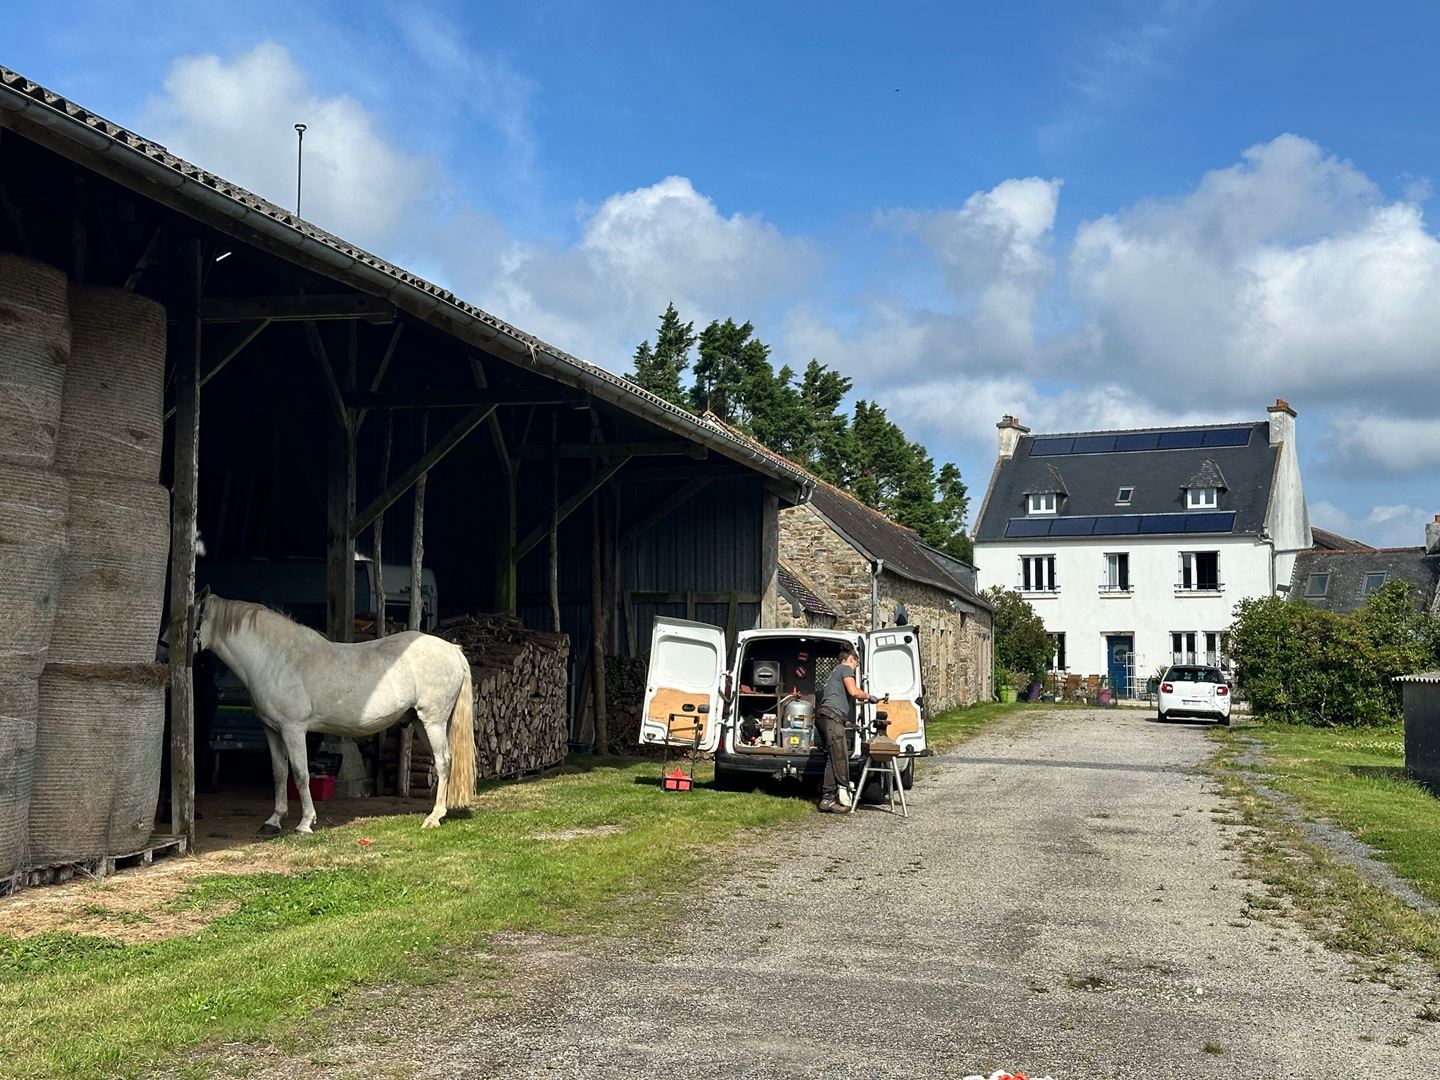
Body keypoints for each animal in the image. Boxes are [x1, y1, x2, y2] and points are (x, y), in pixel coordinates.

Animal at [195, 596, 478, 835]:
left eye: (191, 615)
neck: (277, 658)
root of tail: (453, 650)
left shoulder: (293, 730)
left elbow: (301, 774)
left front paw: (305, 823)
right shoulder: (272, 730)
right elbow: (279, 774)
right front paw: (273, 821)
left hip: (433, 722)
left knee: (443, 762)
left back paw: (434, 817)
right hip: (423, 723)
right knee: (443, 762)